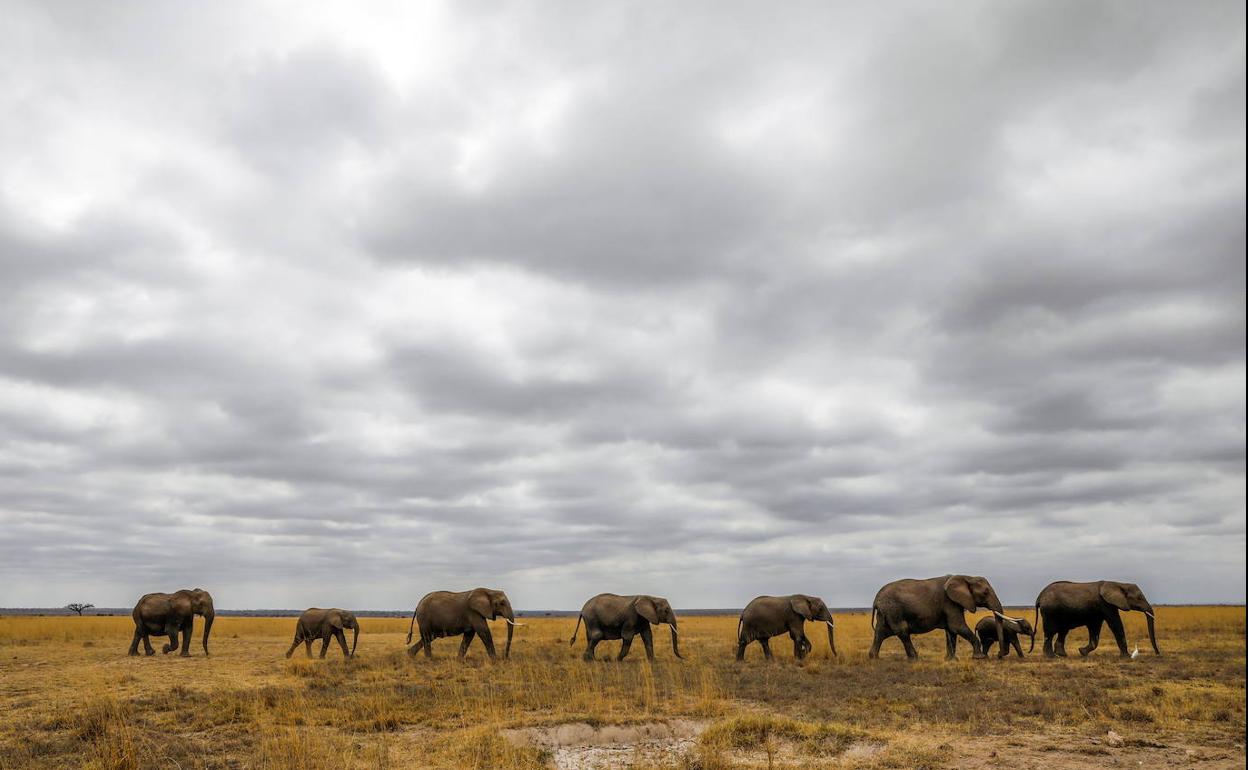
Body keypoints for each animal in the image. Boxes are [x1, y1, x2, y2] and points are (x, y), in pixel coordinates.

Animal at [868, 574, 1013, 658]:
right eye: (985, 593)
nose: (999, 655)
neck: (966, 577)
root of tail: (876, 598)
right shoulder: (950, 602)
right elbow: (957, 626)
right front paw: (979, 658)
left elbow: (951, 631)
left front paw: (951, 659)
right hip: (894, 609)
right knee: (902, 631)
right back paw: (914, 658)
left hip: (886, 611)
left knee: (881, 632)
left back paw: (873, 657)